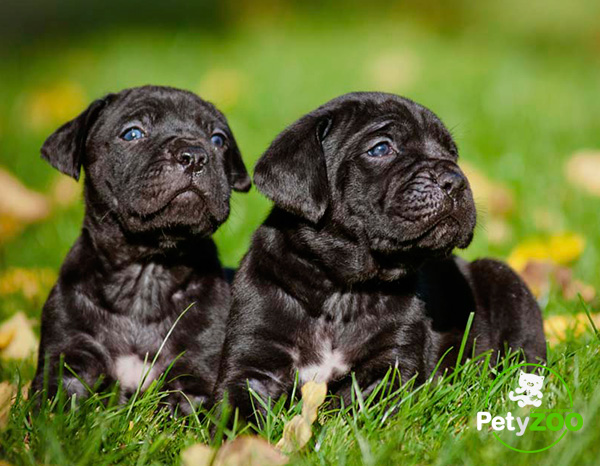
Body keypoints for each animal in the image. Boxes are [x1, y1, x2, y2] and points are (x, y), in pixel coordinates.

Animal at [32, 85, 250, 414]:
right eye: (133, 133)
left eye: (218, 139)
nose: (195, 155)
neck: (147, 271)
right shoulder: (67, 356)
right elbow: (53, 408)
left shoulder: (197, 371)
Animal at [216, 91, 548, 418]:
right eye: (380, 149)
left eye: (452, 154)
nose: (455, 180)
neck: (342, 290)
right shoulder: (253, 361)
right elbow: (238, 414)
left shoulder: (392, 364)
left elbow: (363, 408)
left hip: (506, 282)